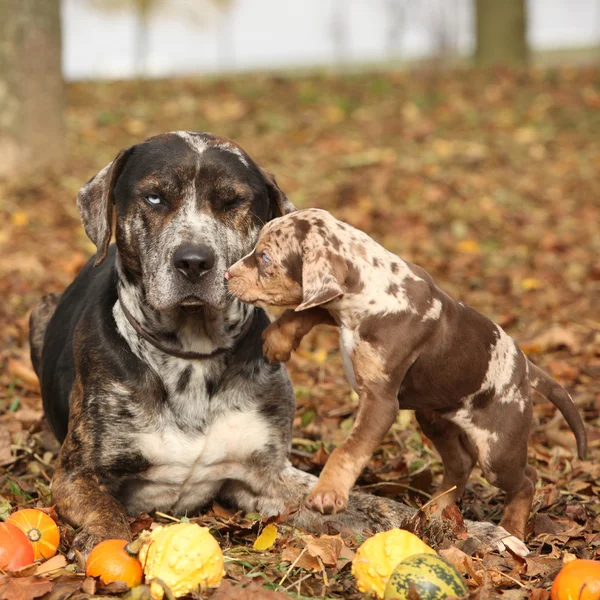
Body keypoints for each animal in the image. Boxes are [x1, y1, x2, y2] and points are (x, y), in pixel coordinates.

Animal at [28, 131, 528, 556]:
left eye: (232, 201)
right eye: (154, 197)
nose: (193, 262)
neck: (191, 354)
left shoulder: (265, 474)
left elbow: (379, 506)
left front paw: (469, 530)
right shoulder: (77, 476)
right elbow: (106, 512)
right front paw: (104, 543)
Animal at [227, 207, 588, 540]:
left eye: (265, 257)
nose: (227, 275)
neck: (370, 290)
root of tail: (527, 368)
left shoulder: (381, 402)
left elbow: (349, 449)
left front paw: (328, 494)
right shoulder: (335, 309)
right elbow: (305, 311)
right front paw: (278, 340)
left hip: (498, 452)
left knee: (526, 481)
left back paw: (511, 528)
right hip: (435, 420)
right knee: (460, 464)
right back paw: (436, 509)